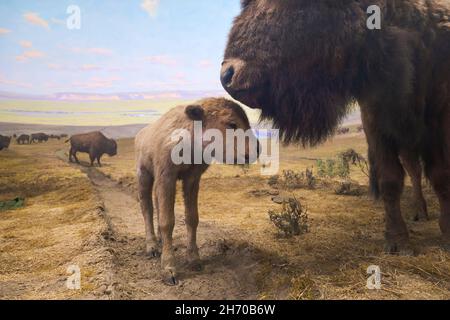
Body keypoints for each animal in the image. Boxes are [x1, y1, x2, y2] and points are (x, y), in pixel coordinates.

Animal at [134, 97, 260, 284]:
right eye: (231, 123)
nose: (256, 149)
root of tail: (140, 135)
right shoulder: (167, 177)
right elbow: (167, 221)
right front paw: (169, 269)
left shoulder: (192, 179)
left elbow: (192, 218)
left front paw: (194, 259)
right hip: (144, 174)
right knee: (147, 208)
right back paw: (152, 247)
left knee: (155, 204)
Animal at [222, 0, 450, 255]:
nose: (228, 74)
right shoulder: (375, 117)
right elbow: (390, 178)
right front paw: (398, 241)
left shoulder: (440, 113)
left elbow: (441, 175)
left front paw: (446, 232)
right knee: (413, 170)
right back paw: (419, 211)